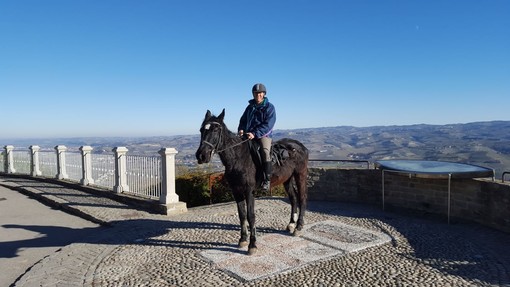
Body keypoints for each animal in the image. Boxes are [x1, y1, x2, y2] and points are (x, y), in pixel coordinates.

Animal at [194, 109, 306, 255]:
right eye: (202, 130)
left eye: (216, 130)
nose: (201, 156)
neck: (238, 158)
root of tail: (299, 146)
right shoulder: (236, 191)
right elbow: (242, 215)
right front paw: (242, 240)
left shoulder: (249, 191)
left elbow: (250, 215)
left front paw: (252, 245)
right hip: (287, 179)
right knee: (293, 199)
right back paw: (291, 224)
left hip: (300, 175)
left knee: (302, 198)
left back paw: (298, 226)